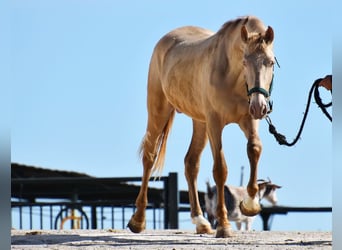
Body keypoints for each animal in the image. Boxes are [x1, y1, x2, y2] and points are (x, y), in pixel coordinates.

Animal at [127, 16, 276, 238]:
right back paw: (138, 220)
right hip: (159, 111)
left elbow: (254, 149)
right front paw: (223, 226)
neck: (232, 77)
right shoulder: (215, 123)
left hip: (200, 122)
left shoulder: (248, 120)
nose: (260, 106)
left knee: (191, 163)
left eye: (271, 62)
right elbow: (220, 170)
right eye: (244, 61)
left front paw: (250, 204)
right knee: (149, 157)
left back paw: (201, 221)